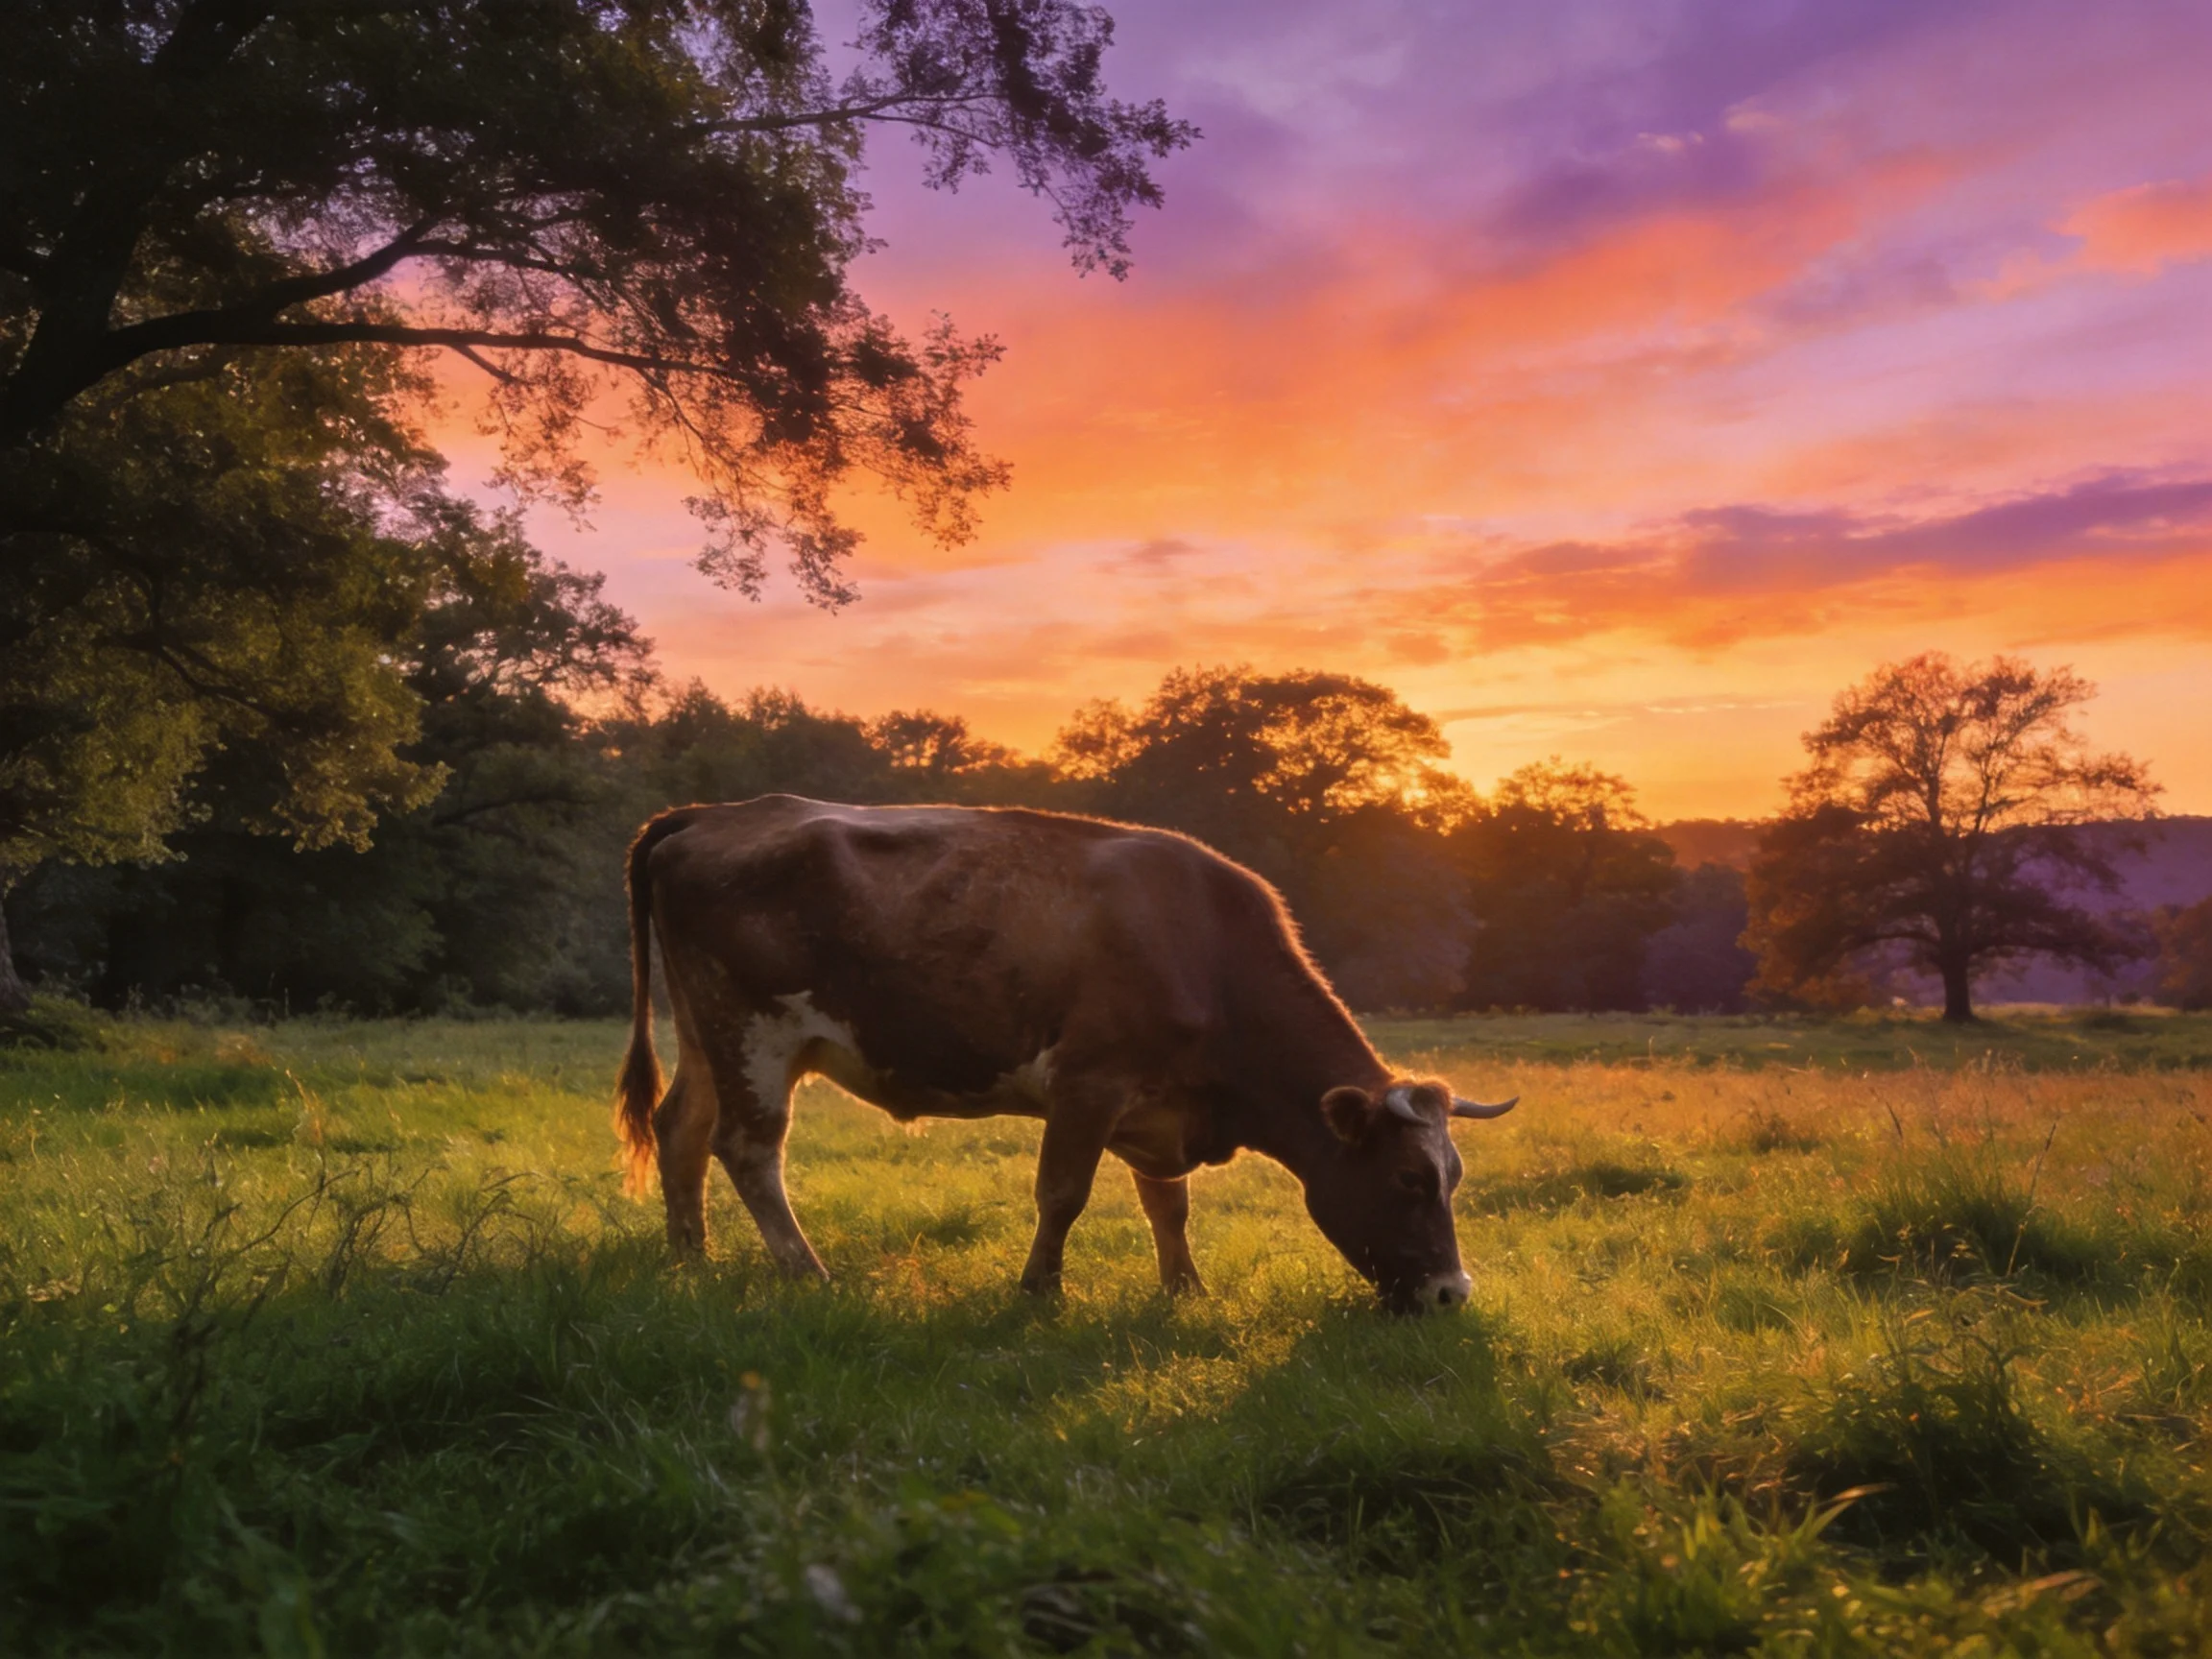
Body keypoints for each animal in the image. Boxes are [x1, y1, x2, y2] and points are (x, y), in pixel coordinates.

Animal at [613, 796, 1517, 1312]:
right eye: (1409, 1179)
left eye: (1455, 1177)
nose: (1452, 1294)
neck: (1204, 948)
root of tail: (709, 813)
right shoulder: (1090, 1084)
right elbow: (1063, 1194)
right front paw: (1038, 1290)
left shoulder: (1158, 1110)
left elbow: (1168, 1205)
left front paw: (1184, 1289)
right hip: (754, 1031)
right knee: (747, 1149)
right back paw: (807, 1274)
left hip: (705, 1031)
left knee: (681, 1128)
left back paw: (690, 1259)